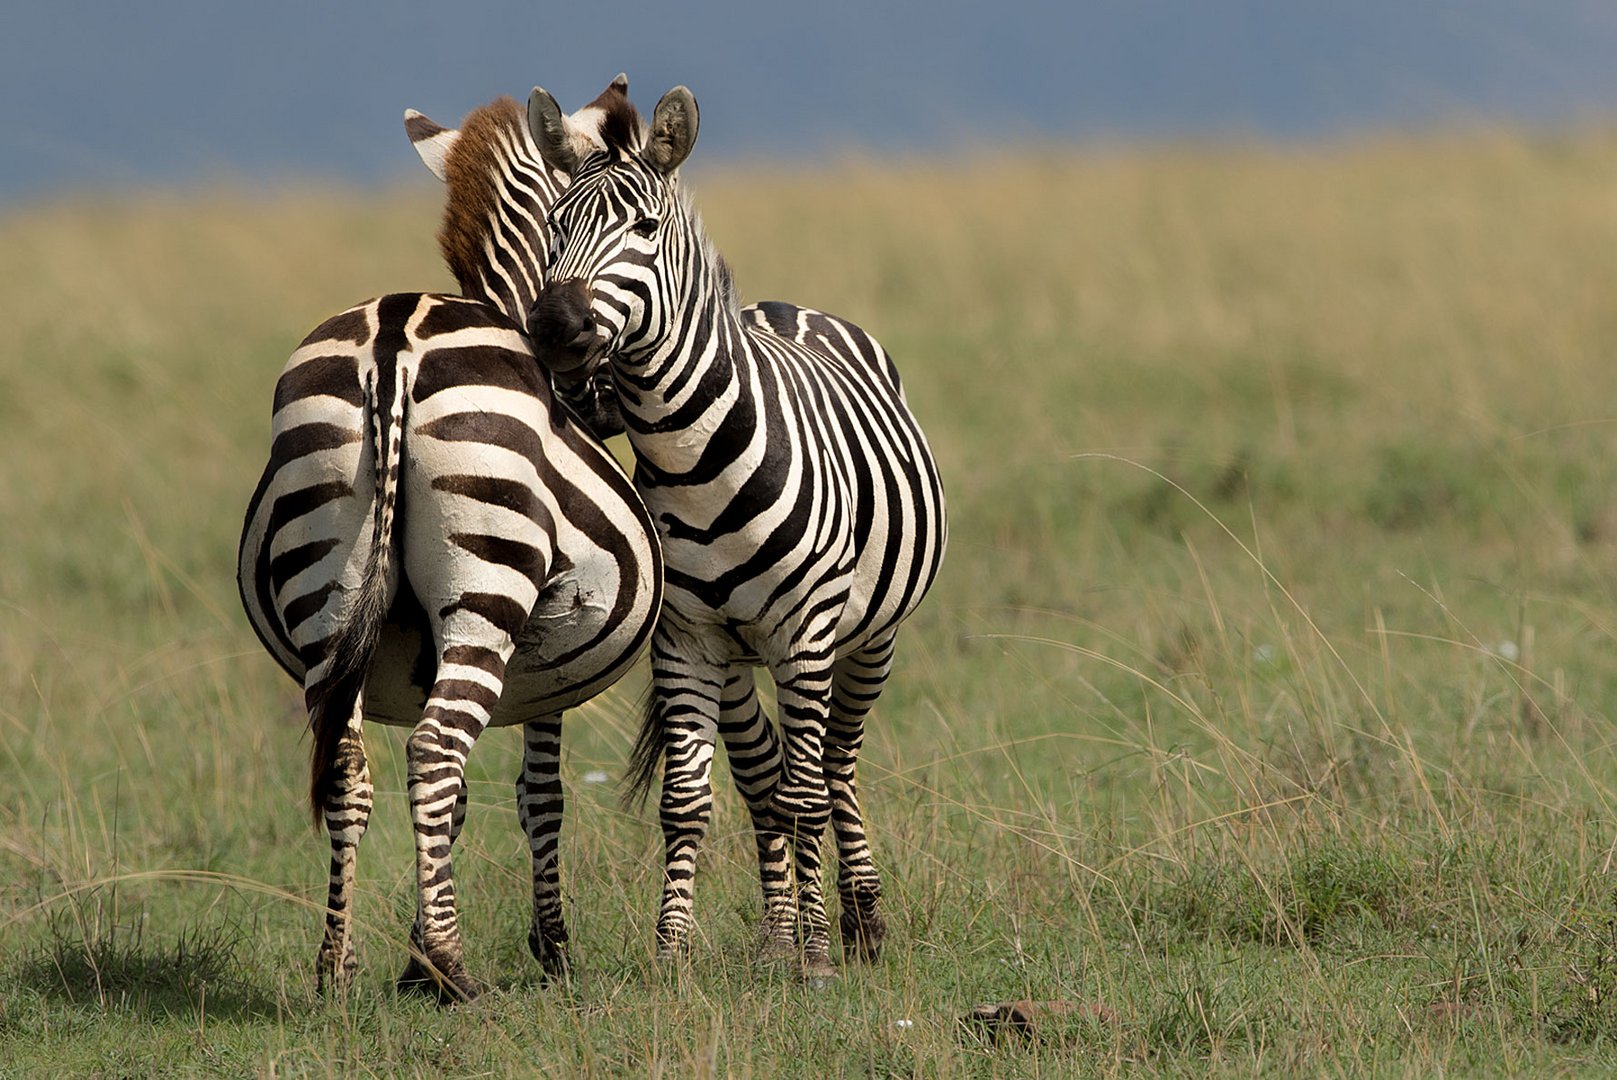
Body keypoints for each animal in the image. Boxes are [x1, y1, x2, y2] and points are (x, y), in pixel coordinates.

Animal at [231, 82, 659, 1002]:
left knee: (348, 764)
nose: (598, 397)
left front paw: (411, 955)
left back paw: (337, 965)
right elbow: (538, 794)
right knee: (433, 752)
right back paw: (458, 971)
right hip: (486, 591)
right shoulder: (546, 669)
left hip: (325, 593)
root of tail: (393, 338)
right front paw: (545, 947)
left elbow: (455, 803)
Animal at [523, 86, 944, 976]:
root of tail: (782, 305)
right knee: (764, 775)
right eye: (553, 225)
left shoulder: (806, 633)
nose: (553, 326)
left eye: (644, 226)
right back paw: (774, 934)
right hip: (737, 656)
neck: (693, 458)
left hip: (868, 638)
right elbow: (689, 801)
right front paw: (673, 952)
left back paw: (858, 922)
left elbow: (807, 793)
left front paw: (817, 955)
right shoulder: (685, 636)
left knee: (834, 767)